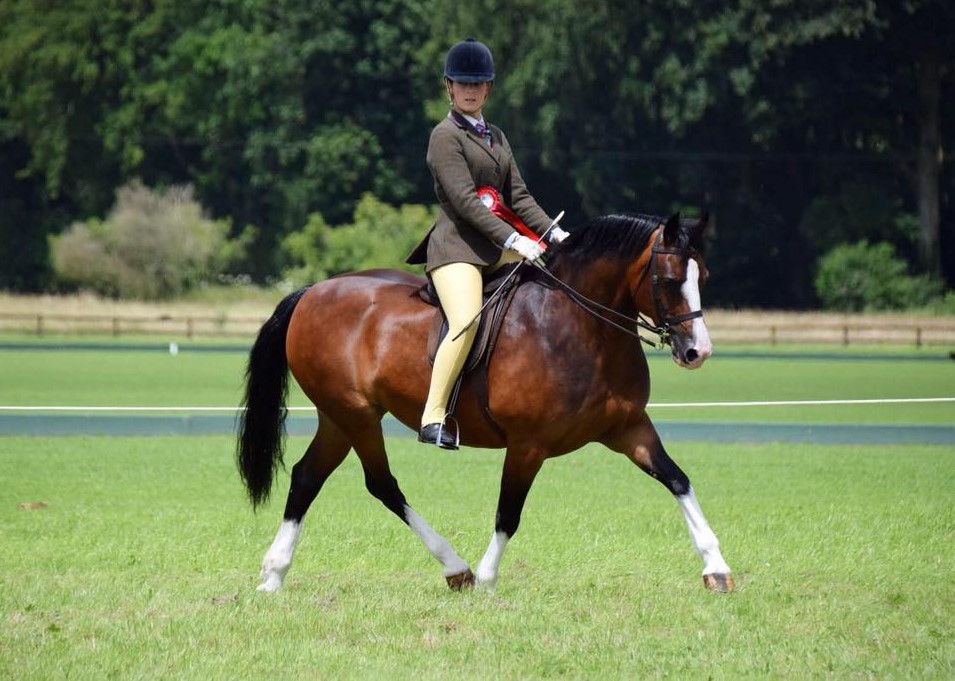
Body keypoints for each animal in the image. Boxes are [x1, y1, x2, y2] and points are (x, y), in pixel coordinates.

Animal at [237, 211, 735, 593]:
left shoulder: (629, 428)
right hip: (355, 415)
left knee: (307, 477)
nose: (698, 352)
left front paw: (716, 567)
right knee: (382, 485)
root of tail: (314, 291)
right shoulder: (528, 444)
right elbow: (508, 512)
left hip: (338, 418)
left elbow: (678, 480)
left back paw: (273, 576)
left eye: (705, 277)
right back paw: (456, 568)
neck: (581, 329)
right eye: (669, 280)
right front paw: (489, 578)